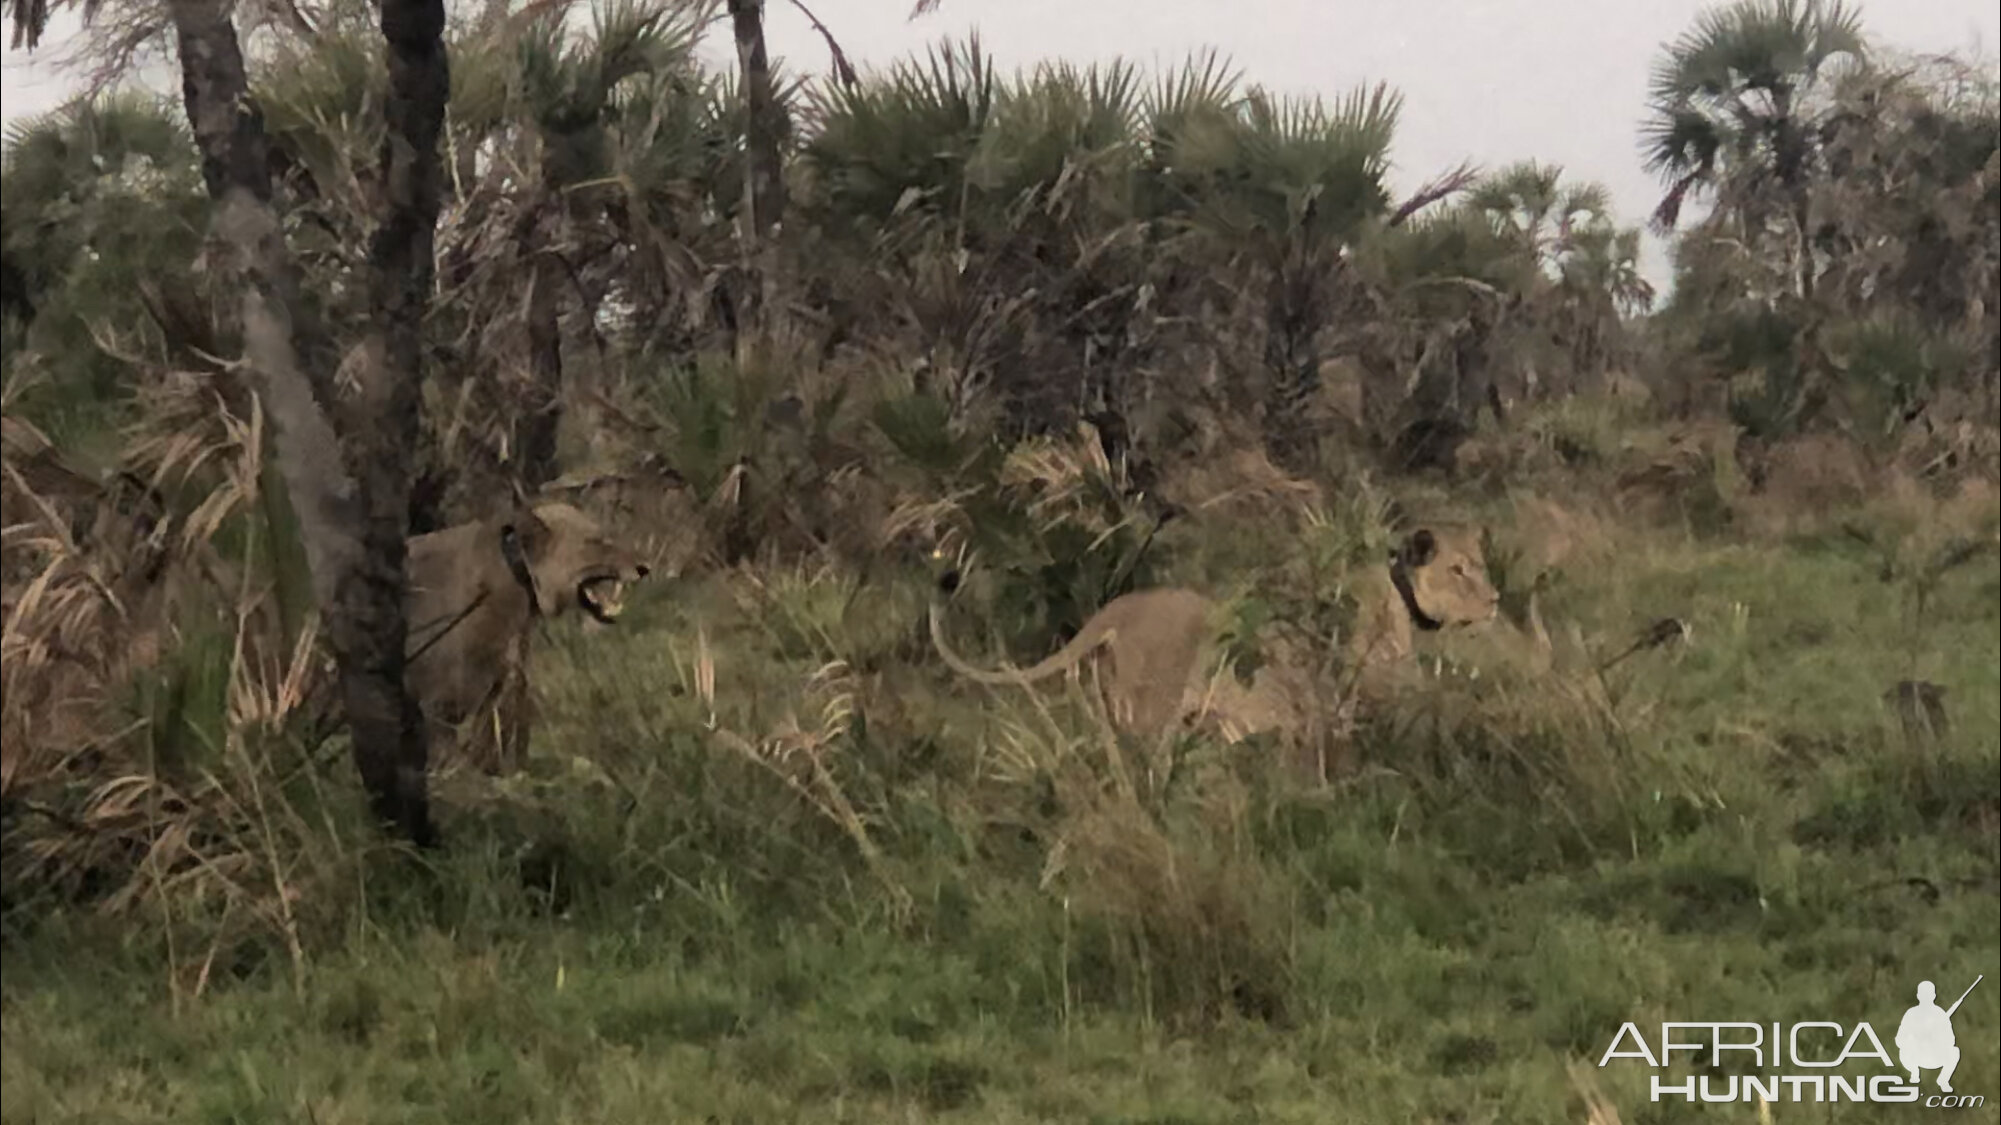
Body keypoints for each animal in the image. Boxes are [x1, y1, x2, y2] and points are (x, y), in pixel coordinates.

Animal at [928, 524, 1496, 768]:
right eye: (1458, 569)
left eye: (1481, 563)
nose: (1494, 599)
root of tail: (1118, 607)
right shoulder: (1379, 698)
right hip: (1151, 713)